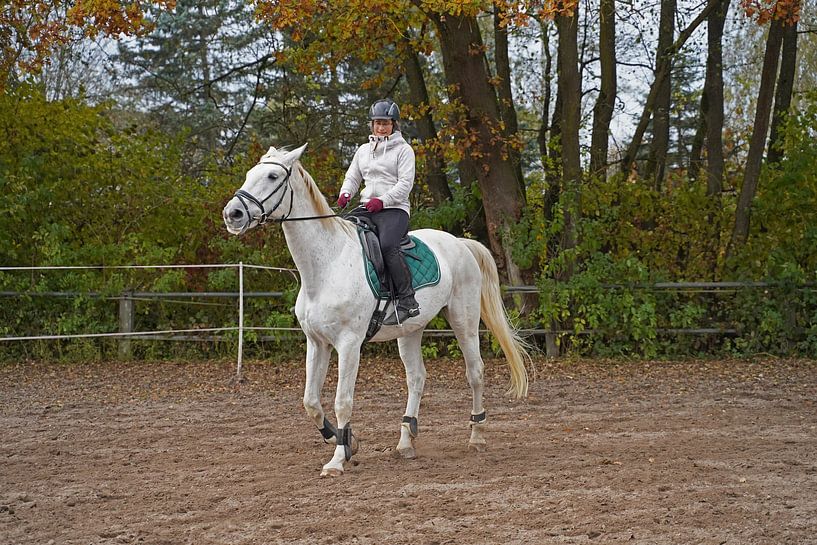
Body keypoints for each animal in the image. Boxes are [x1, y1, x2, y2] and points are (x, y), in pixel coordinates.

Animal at [222, 144, 529, 477]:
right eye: (250, 173)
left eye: (272, 176)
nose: (233, 214)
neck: (327, 265)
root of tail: (460, 243)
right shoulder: (317, 343)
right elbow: (310, 401)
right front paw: (345, 441)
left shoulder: (348, 344)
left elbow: (342, 401)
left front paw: (337, 460)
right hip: (410, 330)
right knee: (416, 378)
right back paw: (405, 443)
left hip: (464, 320)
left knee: (475, 372)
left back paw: (476, 437)